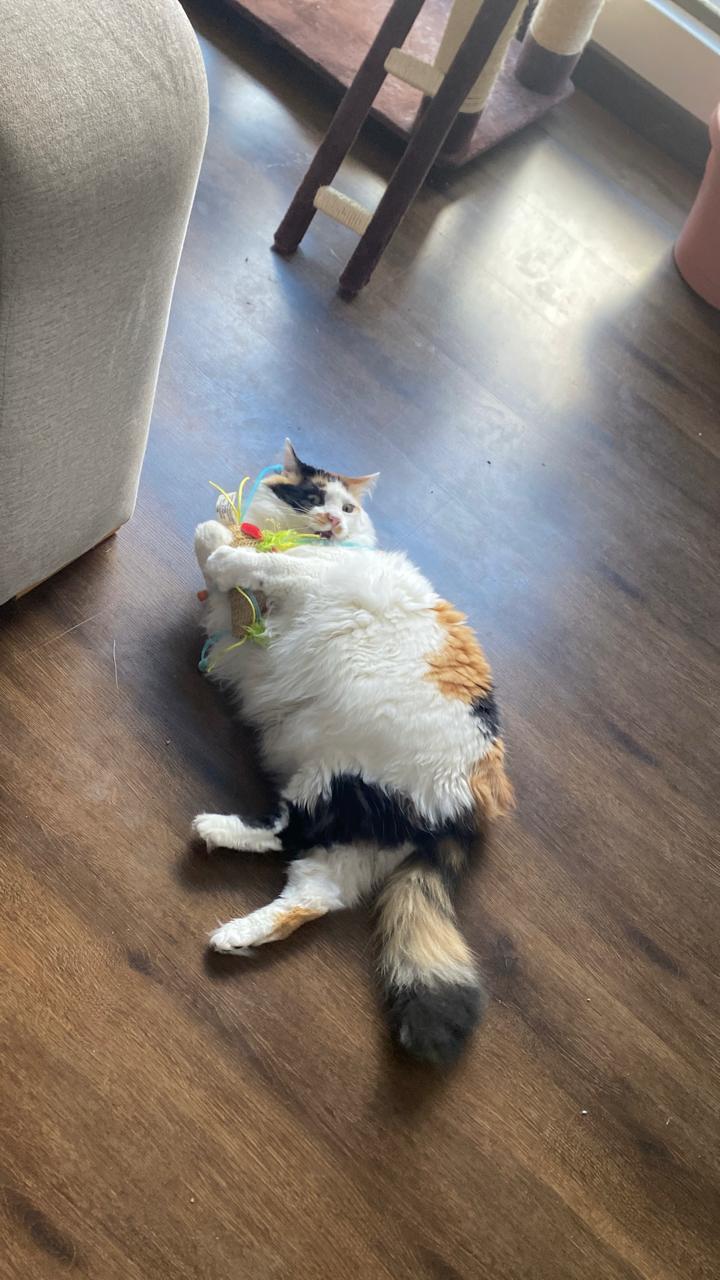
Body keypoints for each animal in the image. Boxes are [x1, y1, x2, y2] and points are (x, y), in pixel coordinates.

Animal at [192, 441, 513, 1064]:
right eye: (315, 497)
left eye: (347, 506)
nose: (335, 521)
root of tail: (475, 805)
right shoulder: (244, 626)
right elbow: (218, 562)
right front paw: (224, 528)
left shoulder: (302, 579)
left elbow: (240, 558)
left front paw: (225, 545)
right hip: (352, 814)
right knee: (312, 895)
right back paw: (235, 933)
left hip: (333, 777)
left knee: (287, 834)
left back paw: (213, 831)